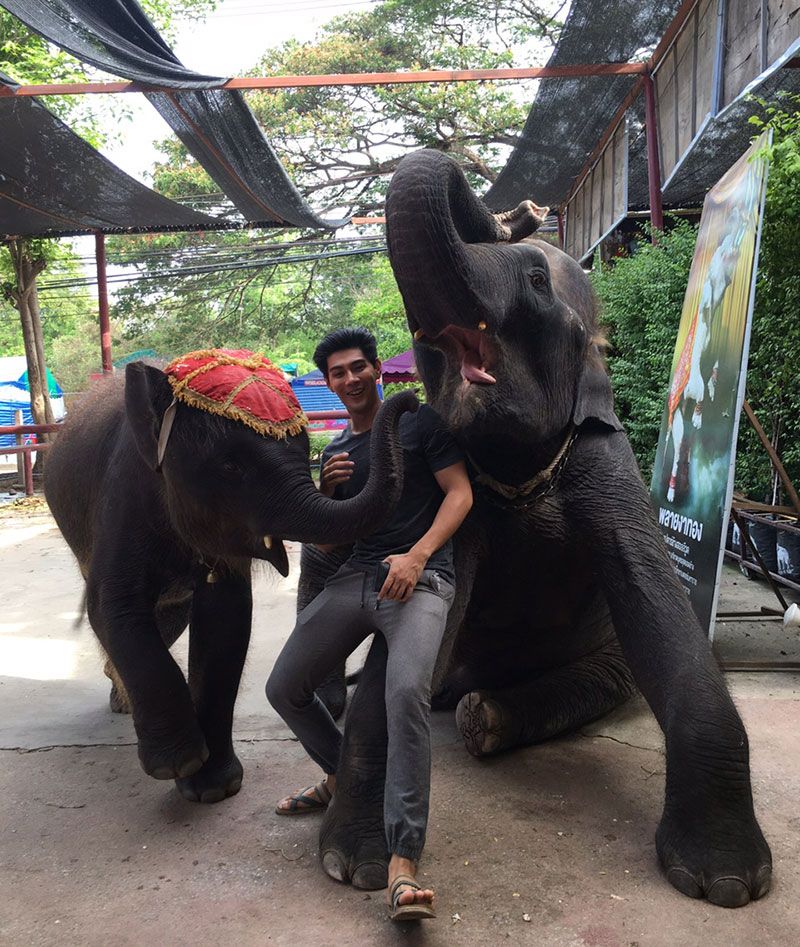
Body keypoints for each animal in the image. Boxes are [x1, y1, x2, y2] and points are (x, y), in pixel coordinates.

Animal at [44, 352, 414, 804]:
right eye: (230, 465)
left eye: (304, 450)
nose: (412, 400)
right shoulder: (123, 493)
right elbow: (114, 606)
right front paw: (178, 764)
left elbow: (227, 620)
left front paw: (215, 787)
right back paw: (123, 704)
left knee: (170, 616)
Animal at [314, 150, 771, 908]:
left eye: (533, 279)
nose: (519, 211)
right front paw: (350, 865)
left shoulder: (608, 463)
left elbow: (659, 609)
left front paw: (726, 882)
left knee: (606, 676)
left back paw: (483, 717)